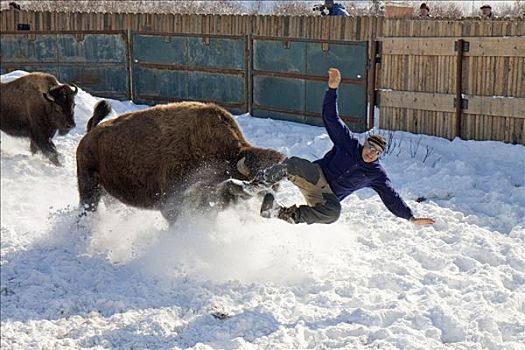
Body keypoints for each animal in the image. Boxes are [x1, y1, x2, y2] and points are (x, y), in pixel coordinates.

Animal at [75, 100, 284, 223]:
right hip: (89, 188)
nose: (269, 200)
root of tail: (88, 136)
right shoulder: (172, 204)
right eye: (257, 179)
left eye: (276, 185)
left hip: (109, 193)